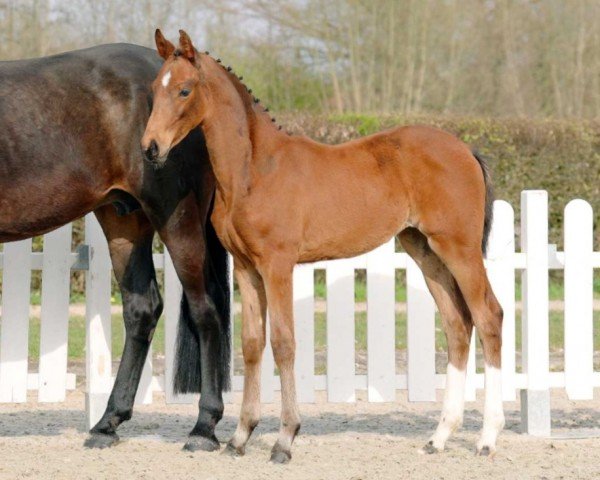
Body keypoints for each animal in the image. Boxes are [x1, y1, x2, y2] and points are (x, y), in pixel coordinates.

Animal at [143, 29, 504, 462]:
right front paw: (240, 437)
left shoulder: (277, 265)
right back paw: (439, 437)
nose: (150, 148)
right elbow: (252, 344)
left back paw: (487, 439)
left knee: (488, 317)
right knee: (457, 325)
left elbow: (283, 342)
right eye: (153, 89)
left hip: (460, 249)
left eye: (184, 90)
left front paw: (285, 440)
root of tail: (465, 150)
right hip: (425, 251)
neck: (254, 170)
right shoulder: (246, 268)